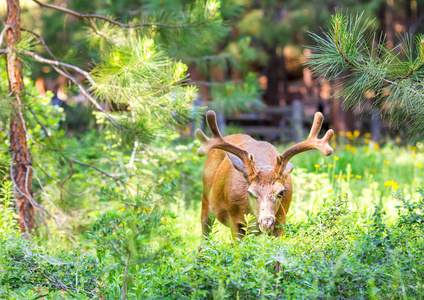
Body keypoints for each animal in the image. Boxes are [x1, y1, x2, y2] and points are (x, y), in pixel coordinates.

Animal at [196, 110, 334, 239]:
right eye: (250, 192)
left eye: (281, 192)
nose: (266, 222)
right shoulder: (234, 218)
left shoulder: (281, 219)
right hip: (205, 198)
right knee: (205, 233)